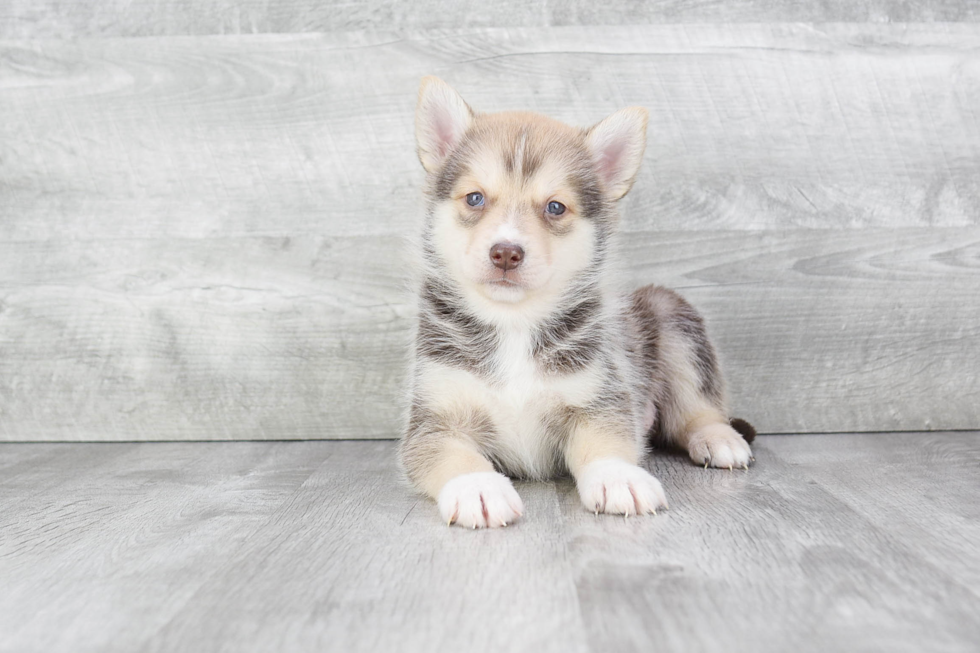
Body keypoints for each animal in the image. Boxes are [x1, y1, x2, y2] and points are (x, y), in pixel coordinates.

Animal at [398, 76, 752, 528]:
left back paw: (720, 438)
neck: (514, 323)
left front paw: (619, 478)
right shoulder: (434, 418)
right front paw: (477, 487)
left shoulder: (600, 398)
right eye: (475, 199)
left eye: (555, 207)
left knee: (700, 407)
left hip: (673, 318)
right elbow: (454, 456)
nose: (506, 253)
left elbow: (604, 444)